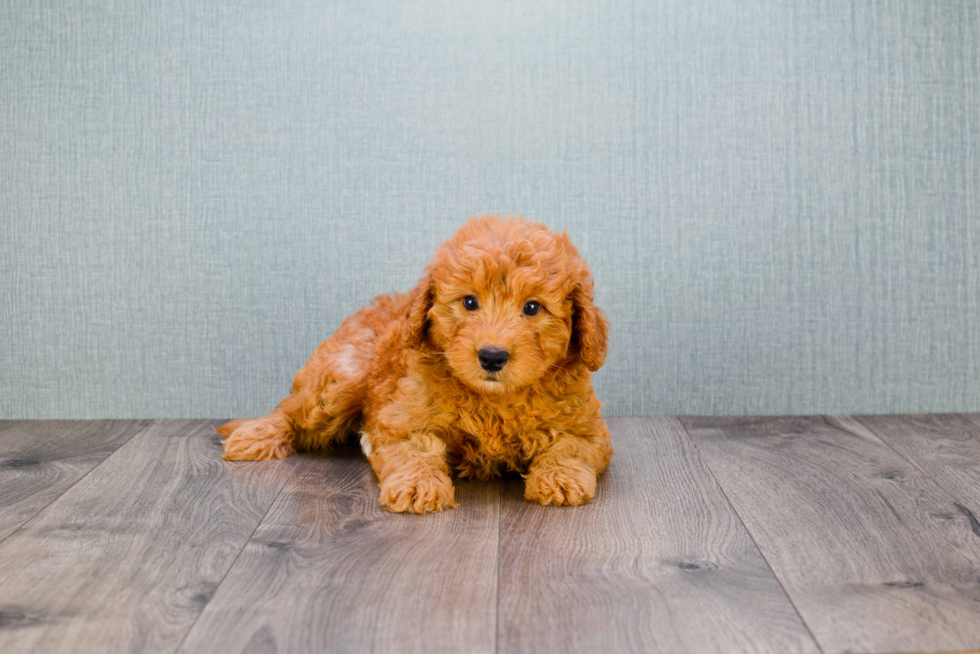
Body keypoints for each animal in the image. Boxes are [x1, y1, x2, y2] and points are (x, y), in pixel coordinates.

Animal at [220, 215, 612, 512]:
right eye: (470, 302)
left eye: (532, 307)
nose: (492, 356)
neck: (493, 399)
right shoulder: (402, 418)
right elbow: (417, 448)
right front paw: (418, 485)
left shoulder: (588, 429)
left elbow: (569, 445)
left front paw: (559, 477)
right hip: (341, 380)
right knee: (290, 410)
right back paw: (256, 435)